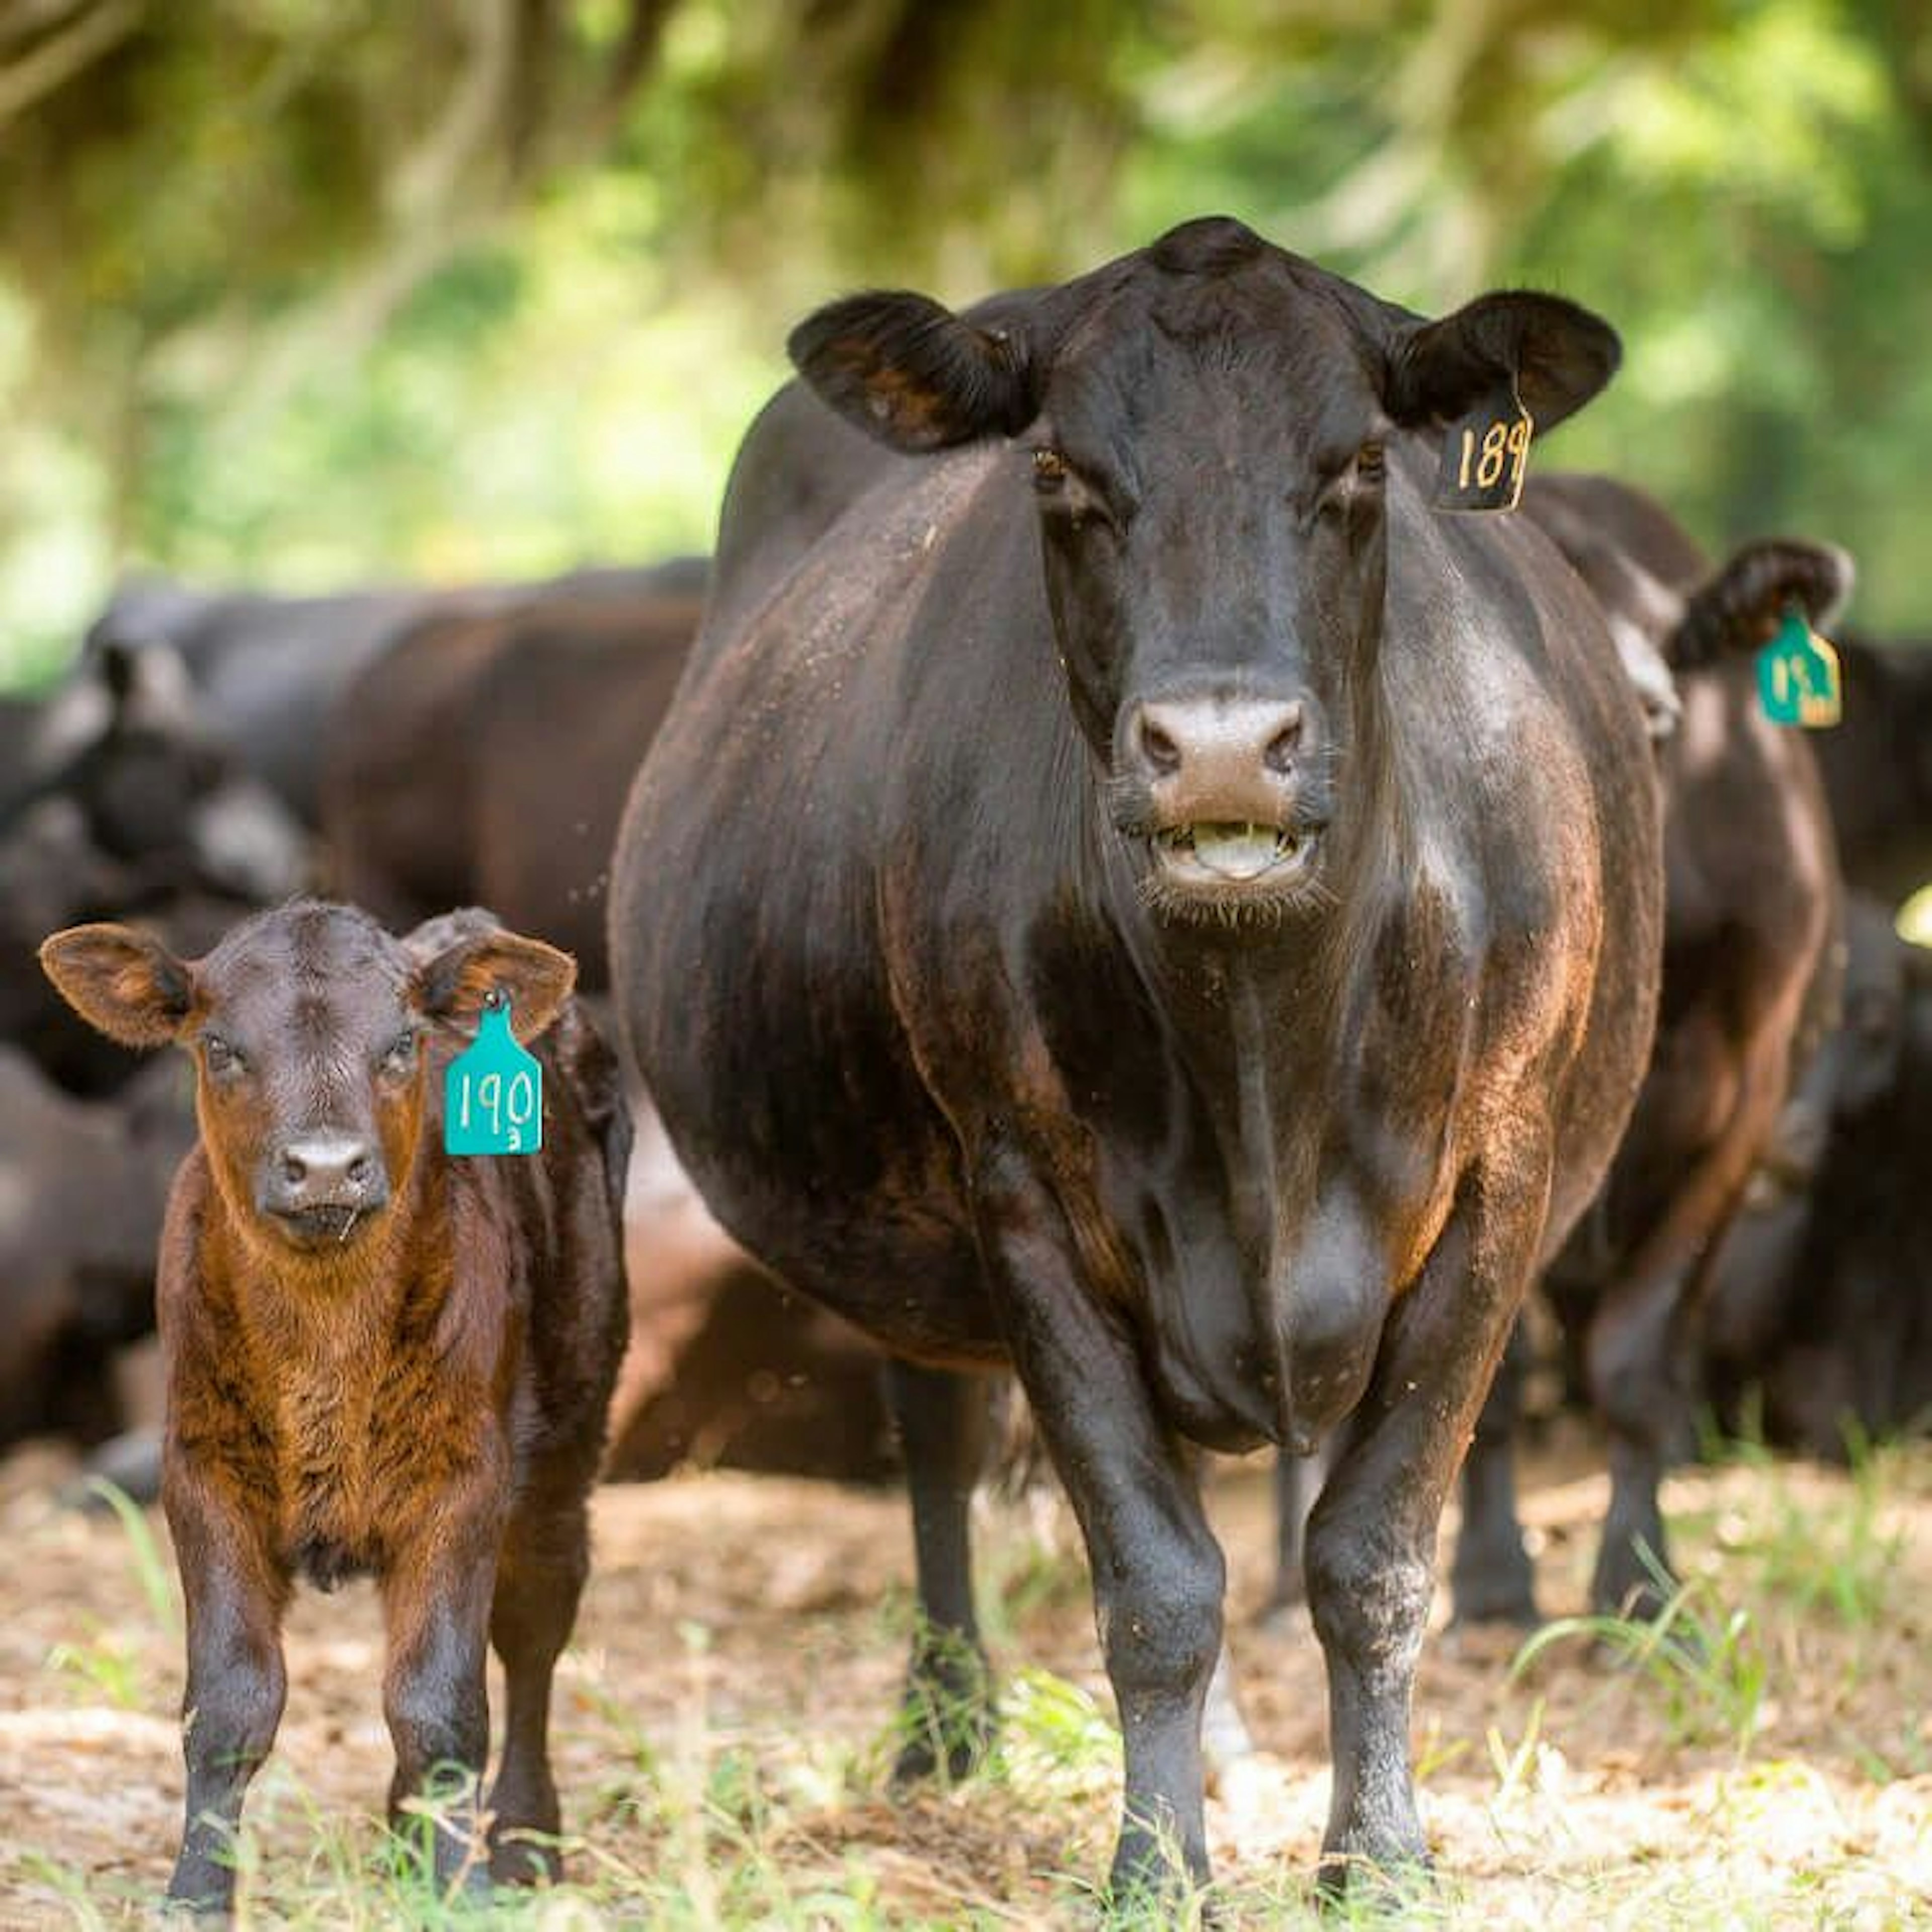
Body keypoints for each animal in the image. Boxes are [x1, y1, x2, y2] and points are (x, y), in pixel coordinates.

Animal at [37, 896, 629, 1908]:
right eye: (221, 1047)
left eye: (402, 1046)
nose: (323, 1168)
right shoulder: (201, 1472)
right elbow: (228, 1702)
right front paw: (196, 1895)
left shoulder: (466, 1479)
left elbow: (440, 1705)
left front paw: (464, 1894)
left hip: (570, 1432)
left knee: (536, 1623)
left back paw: (523, 1837)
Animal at [606, 219, 1661, 1893]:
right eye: (1059, 473)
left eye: (1362, 462)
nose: (1220, 749)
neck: (1261, 1050)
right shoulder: (1026, 1198)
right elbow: (1156, 1579)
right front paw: (1157, 1861)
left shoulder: (1500, 1178)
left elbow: (1370, 1555)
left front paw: (1378, 1852)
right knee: (940, 1441)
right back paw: (945, 1731)